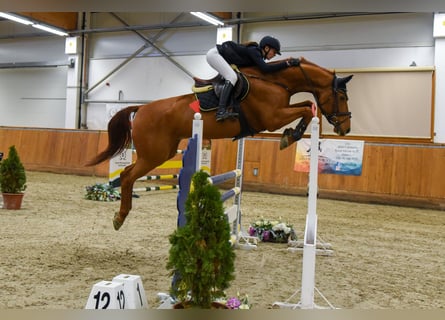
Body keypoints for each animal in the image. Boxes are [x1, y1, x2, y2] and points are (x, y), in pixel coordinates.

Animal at [86, 55, 350, 230]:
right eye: (341, 95)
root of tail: (140, 109)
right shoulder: (272, 118)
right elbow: (305, 109)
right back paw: (120, 217)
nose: (345, 128)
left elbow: (306, 105)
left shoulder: (278, 113)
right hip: (154, 154)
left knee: (128, 173)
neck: (275, 81)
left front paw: (294, 133)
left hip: (162, 152)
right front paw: (290, 136)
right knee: (128, 175)